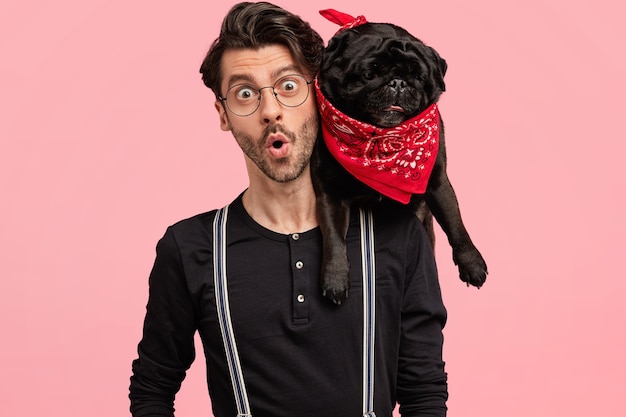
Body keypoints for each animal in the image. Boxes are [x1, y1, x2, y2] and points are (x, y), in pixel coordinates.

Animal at [310, 8, 486, 302]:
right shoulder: (330, 194)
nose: (399, 82)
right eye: (370, 73)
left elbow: (455, 223)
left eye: (418, 76)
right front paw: (335, 279)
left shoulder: (437, 183)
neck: (382, 141)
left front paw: (472, 263)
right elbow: (334, 238)